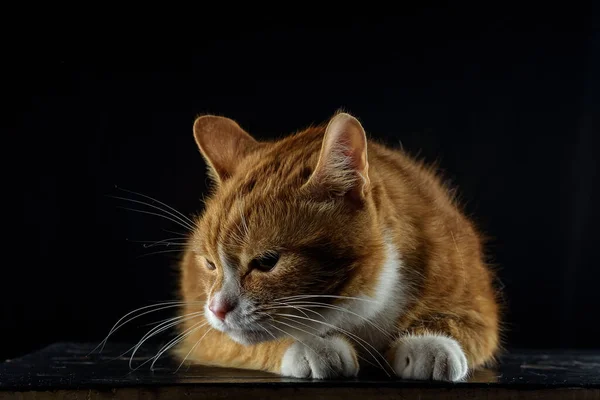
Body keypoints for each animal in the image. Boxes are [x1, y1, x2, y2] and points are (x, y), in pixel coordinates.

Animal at [173, 111, 502, 382]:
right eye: (210, 264)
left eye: (267, 262)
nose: (217, 309)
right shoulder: (202, 330)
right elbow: (249, 342)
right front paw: (309, 346)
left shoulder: (478, 306)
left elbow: (461, 324)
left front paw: (430, 342)